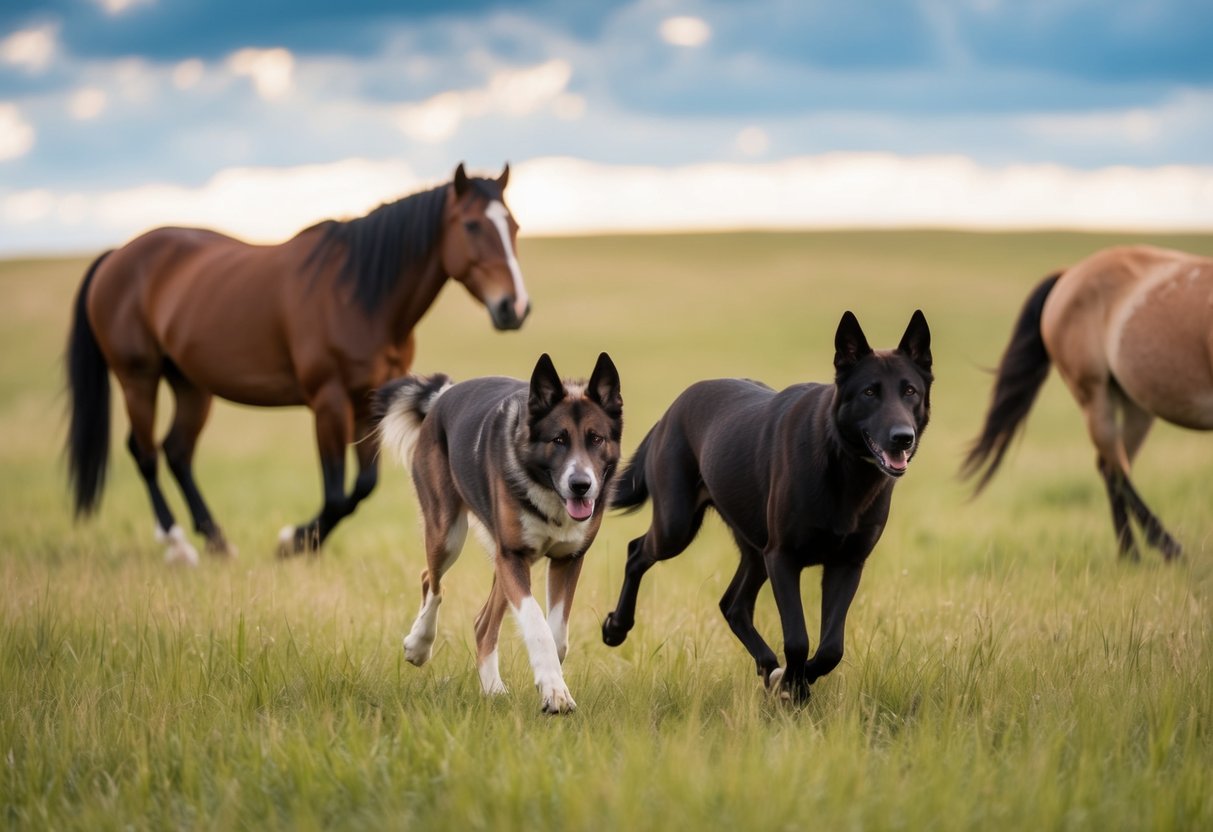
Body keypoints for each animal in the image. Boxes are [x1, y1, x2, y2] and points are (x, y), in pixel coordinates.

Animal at [66, 163, 530, 564]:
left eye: (515, 227)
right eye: (472, 225)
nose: (515, 307)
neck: (360, 296)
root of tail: (117, 255)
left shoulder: (369, 403)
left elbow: (363, 487)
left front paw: (300, 540)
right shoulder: (328, 403)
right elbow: (337, 495)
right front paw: (294, 541)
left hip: (191, 385)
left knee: (177, 452)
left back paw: (218, 542)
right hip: (138, 377)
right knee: (145, 453)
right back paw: (178, 545)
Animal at [962, 244, 1213, 561]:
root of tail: (1069, 274)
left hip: (1135, 404)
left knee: (1115, 465)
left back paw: (1134, 556)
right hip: (1094, 396)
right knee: (1113, 469)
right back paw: (1160, 551)